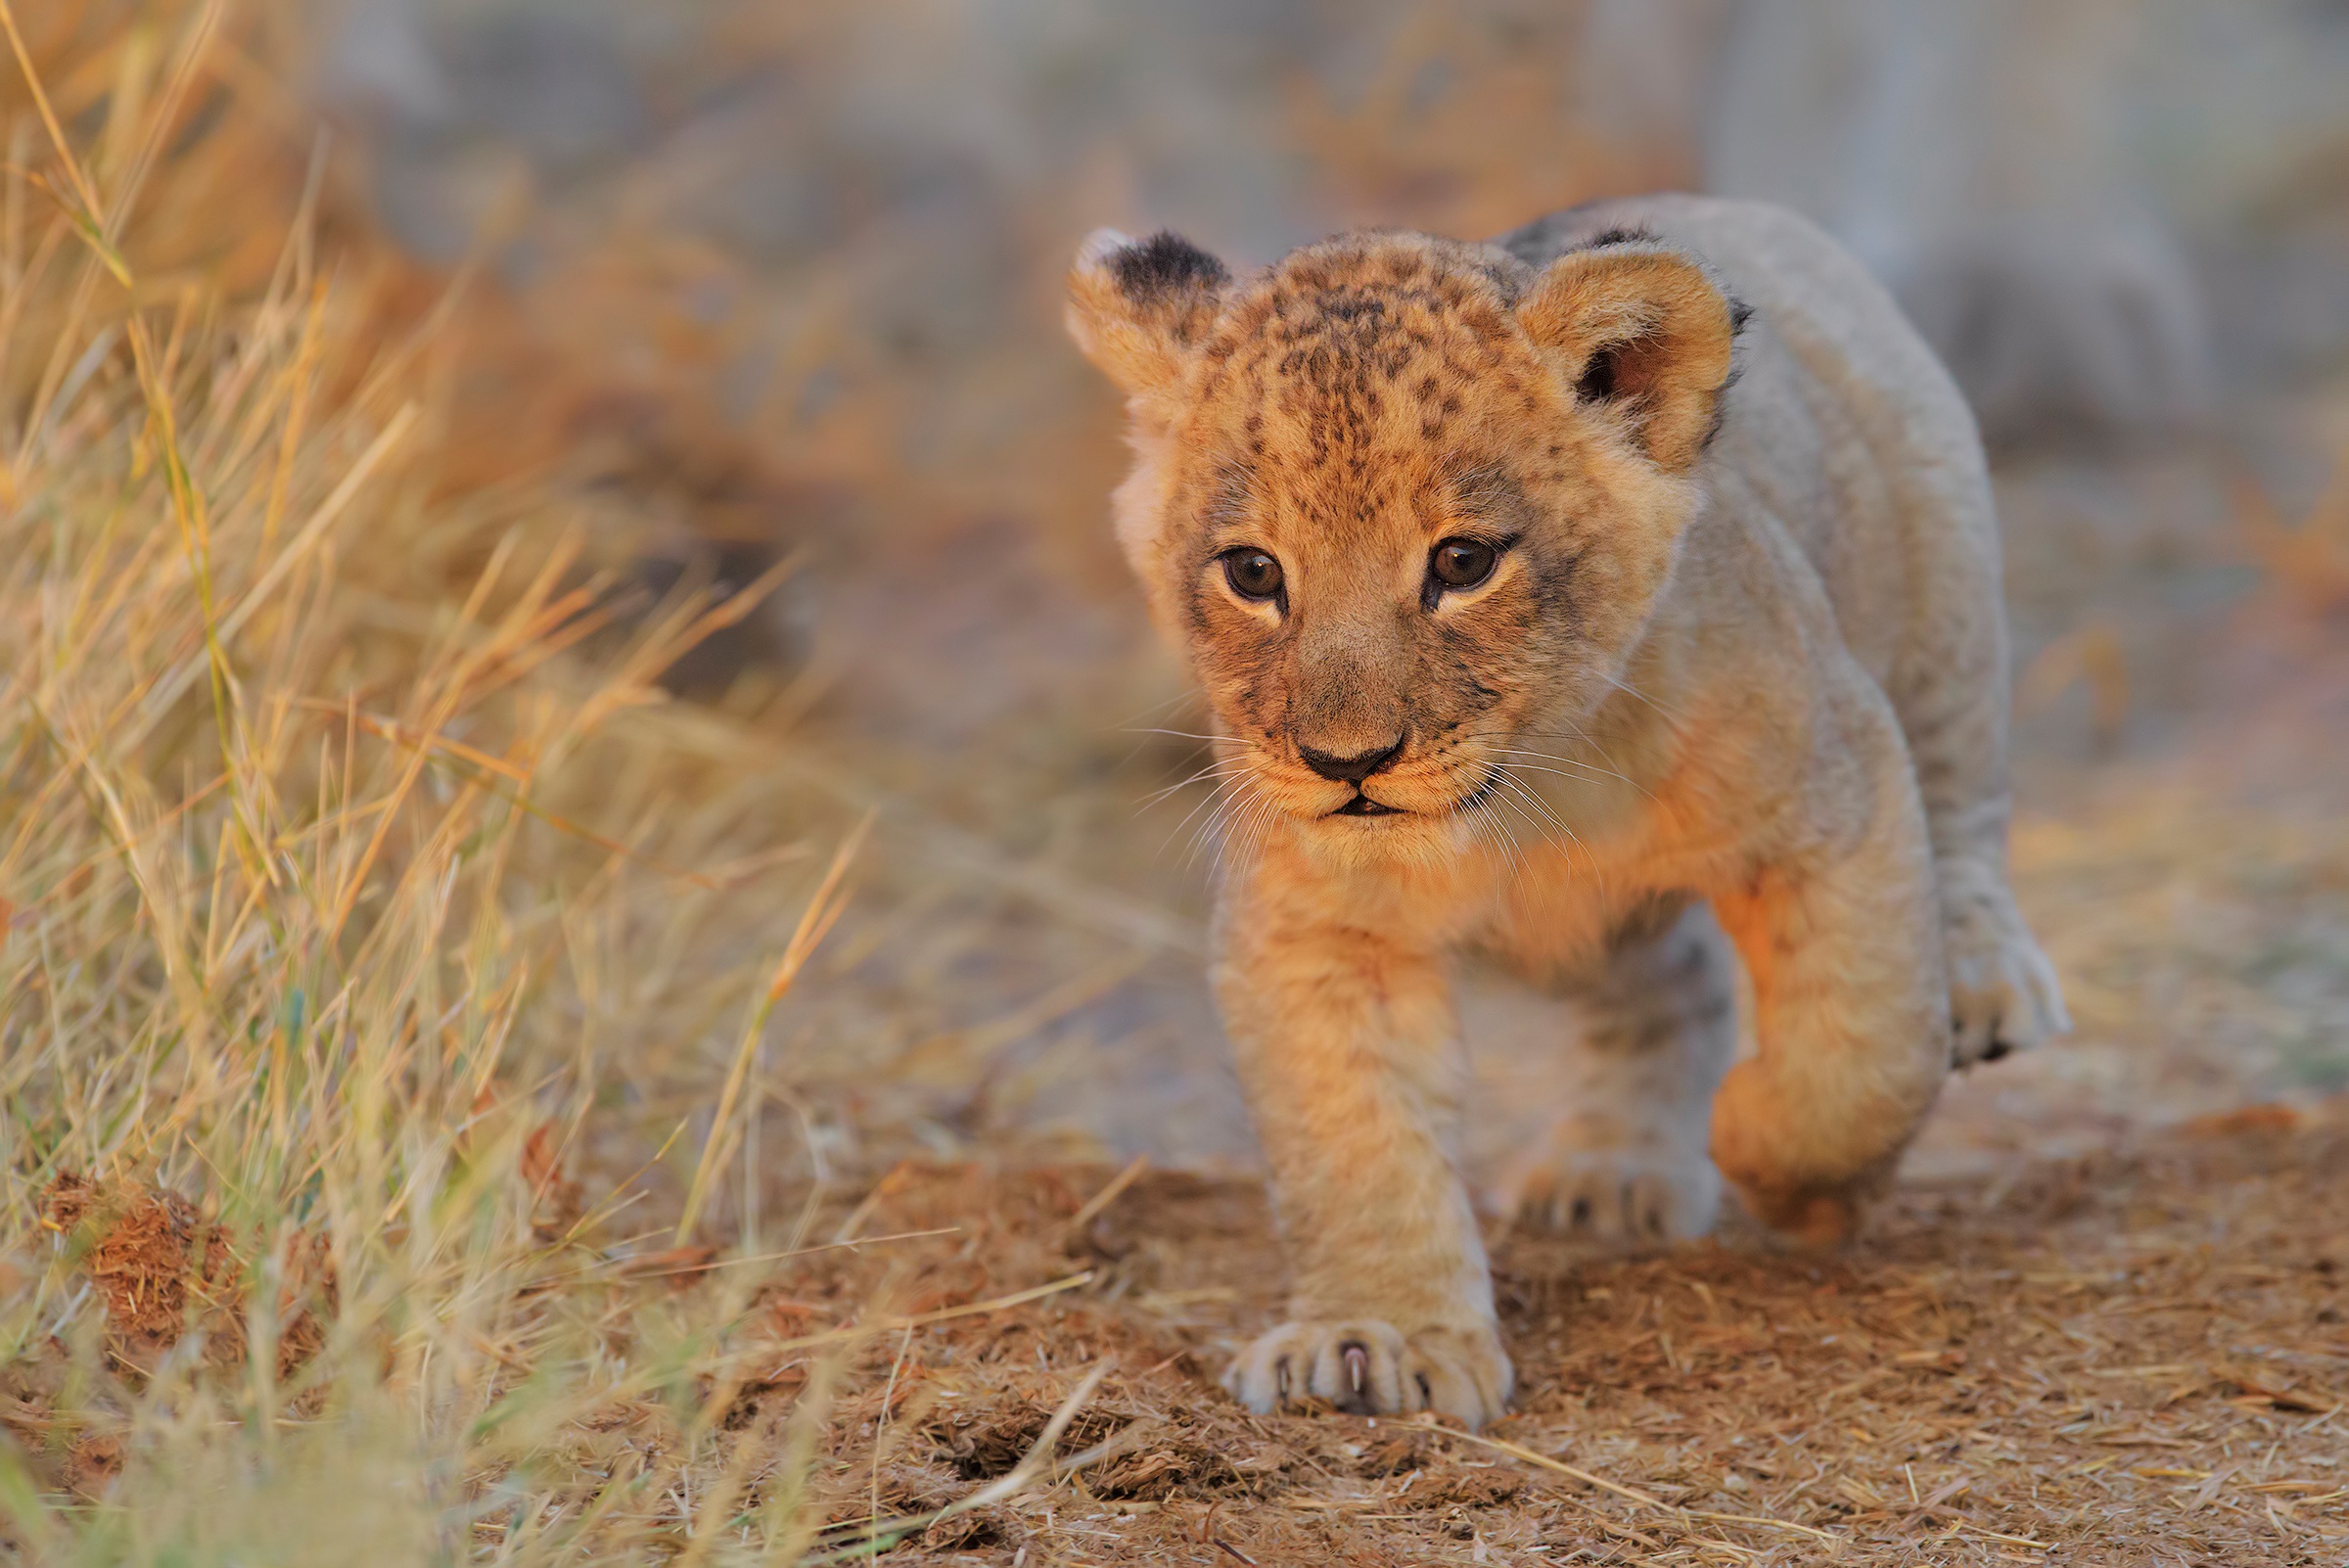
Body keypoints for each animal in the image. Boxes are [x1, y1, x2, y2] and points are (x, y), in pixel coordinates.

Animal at [1066, 190, 2057, 1427]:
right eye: (1252, 573)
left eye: (1463, 562)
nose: (1347, 762)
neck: (1526, 804)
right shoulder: (1316, 929)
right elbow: (1353, 1136)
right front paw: (1376, 1337)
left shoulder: (1842, 785)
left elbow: (1865, 1047)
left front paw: (1783, 1166)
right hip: (1592, 931)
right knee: (1671, 982)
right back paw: (1614, 1170)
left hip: (1940, 593)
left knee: (1960, 808)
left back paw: (1981, 982)